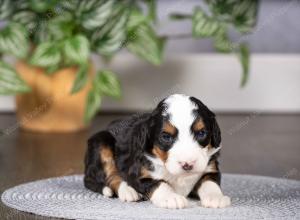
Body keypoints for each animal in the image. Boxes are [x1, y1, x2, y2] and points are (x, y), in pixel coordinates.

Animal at [83, 93, 231, 209]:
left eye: (201, 133)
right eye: (166, 136)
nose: (187, 164)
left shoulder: (210, 168)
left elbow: (210, 182)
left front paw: (215, 198)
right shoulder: (139, 174)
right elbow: (159, 183)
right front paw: (171, 198)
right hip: (101, 142)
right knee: (110, 175)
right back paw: (128, 192)